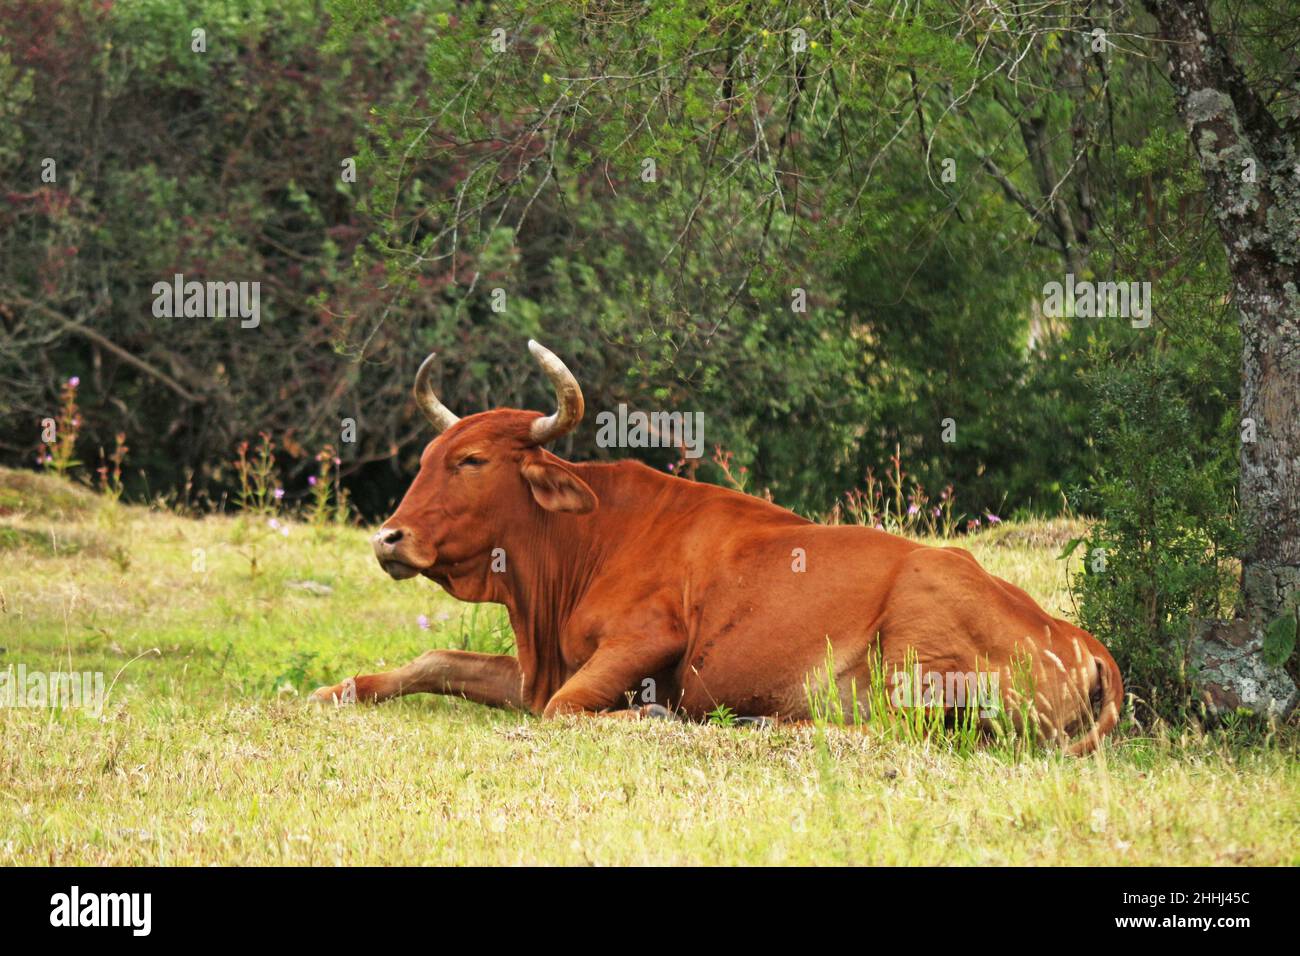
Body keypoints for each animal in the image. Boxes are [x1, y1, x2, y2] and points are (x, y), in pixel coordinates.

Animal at [309, 343, 1123, 754]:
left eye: (473, 460)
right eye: (426, 456)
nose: (389, 537)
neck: (590, 543)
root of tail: (1082, 640)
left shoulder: (645, 643)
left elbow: (565, 710)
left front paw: (653, 720)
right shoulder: (540, 667)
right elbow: (436, 661)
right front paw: (334, 690)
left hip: (917, 649)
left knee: (899, 729)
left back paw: (763, 722)